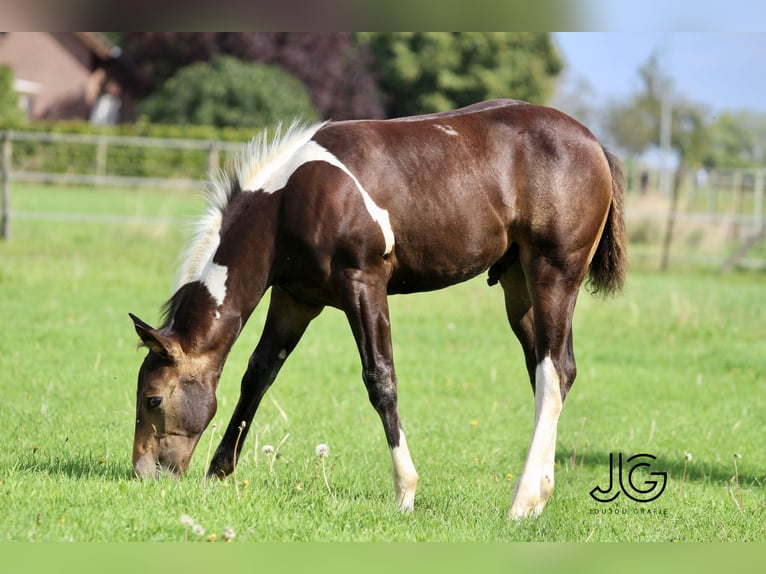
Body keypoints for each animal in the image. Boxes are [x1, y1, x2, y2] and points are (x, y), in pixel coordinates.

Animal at [129, 100, 628, 520]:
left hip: (554, 277)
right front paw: (219, 471)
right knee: (553, 373)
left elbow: (380, 379)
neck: (292, 200)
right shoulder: (296, 299)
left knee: (552, 372)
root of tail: (594, 144)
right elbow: (258, 374)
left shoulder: (363, 285)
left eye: (153, 399)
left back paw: (522, 500)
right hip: (518, 287)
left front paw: (405, 490)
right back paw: (540, 496)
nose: (143, 474)